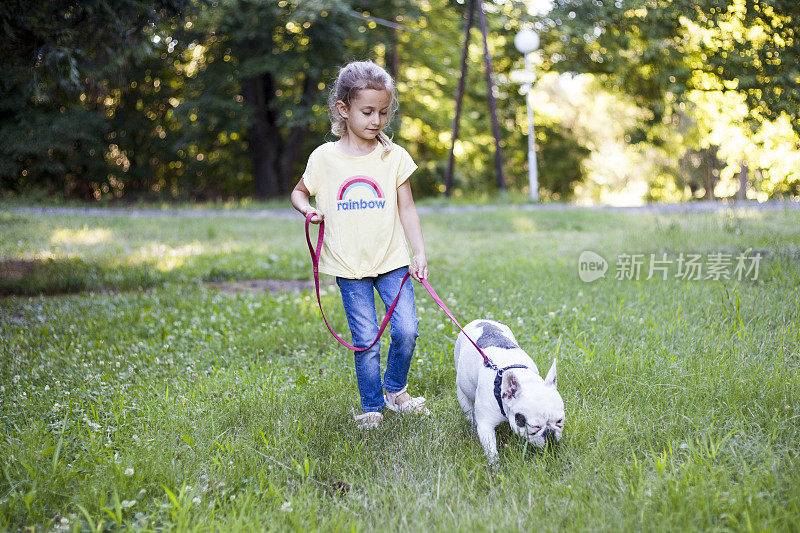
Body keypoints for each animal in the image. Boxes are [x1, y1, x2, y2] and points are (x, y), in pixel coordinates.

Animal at [456, 318, 564, 460]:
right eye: (535, 427)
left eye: (560, 421)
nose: (550, 434)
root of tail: (480, 320)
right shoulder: (485, 424)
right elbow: (490, 447)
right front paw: (494, 462)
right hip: (461, 389)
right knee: (468, 408)